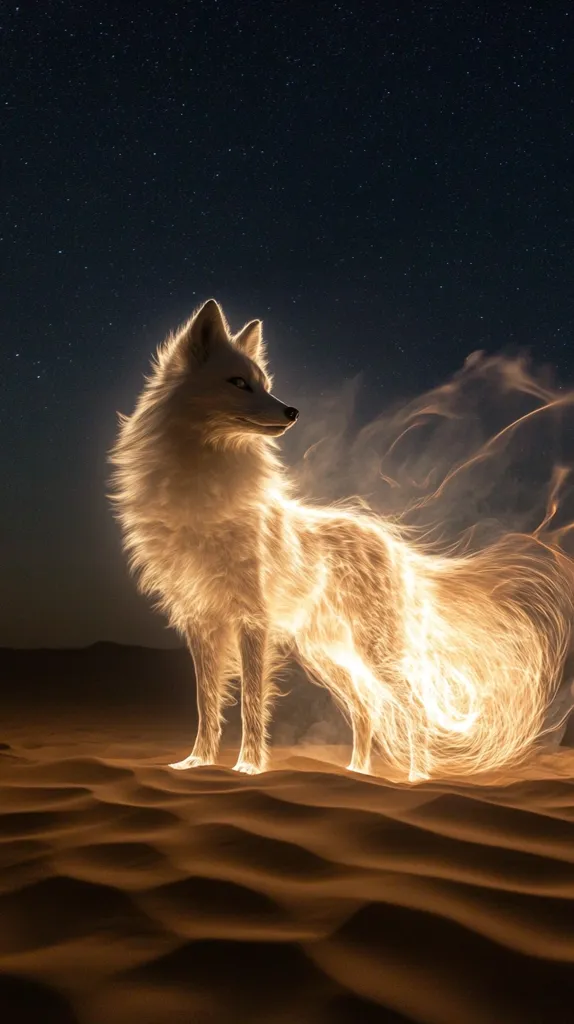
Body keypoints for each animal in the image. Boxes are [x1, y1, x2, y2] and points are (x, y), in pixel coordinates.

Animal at [109, 299, 572, 780]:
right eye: (238, 383)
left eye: (266, 385)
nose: (292, 411)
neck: (204, 485)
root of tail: (391, 544)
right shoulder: (201, 622)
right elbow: (206, 703)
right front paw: (197, 762)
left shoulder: (252, 620)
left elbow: (252, 702)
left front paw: (249, 766)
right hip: (332, 657)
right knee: (366, 707)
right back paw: (358, 772)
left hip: (372, 653)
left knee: (413, 707)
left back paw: (416, 777)